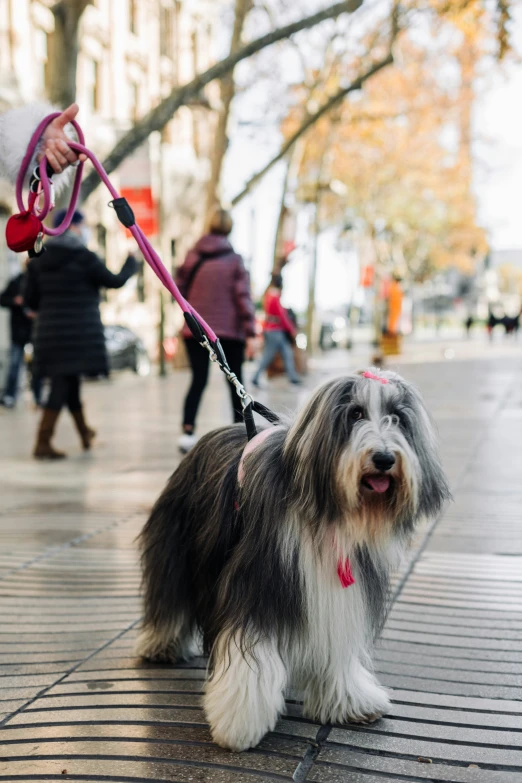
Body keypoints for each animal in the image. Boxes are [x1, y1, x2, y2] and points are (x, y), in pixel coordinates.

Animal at [136, 372, 448, 752]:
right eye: (355, 414)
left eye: (398, 417)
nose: (385, 458)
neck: (329, 515)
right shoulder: (258, 581)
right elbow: (250, 652)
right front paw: (240, 721)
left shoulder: (339, 589)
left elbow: (337, 645)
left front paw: (348, 701)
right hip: (177, 546)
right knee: (169, 596)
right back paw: (161, 644)